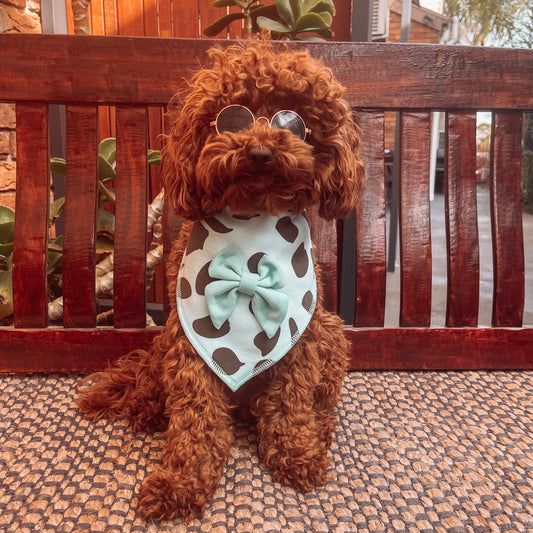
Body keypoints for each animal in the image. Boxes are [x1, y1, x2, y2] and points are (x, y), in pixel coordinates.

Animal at [77, 39, 364, 520]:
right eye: (233, 116)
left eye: (294, 120)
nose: (261, 152)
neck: (251, 228)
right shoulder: (189, 347)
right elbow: (197, 420)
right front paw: (180, 483)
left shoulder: (300, 340)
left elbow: (290, 403)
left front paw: (296, 454)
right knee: (148, 383)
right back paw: (144, 407)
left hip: (330, 331)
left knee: (321, 402)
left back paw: (319, 431)